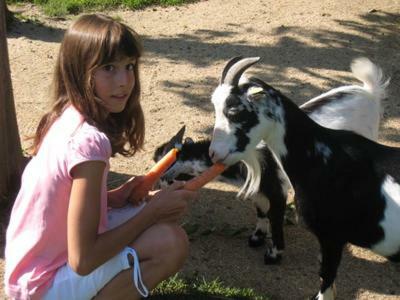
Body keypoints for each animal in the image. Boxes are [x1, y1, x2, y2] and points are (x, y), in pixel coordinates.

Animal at [155, 57, 386, 266]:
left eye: (234, 111)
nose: (159, 184)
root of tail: (368, 91)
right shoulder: (257, 188)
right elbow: (260, 211)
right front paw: (257, 237)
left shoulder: (277, 190)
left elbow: (275, 219)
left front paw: (273, 254)